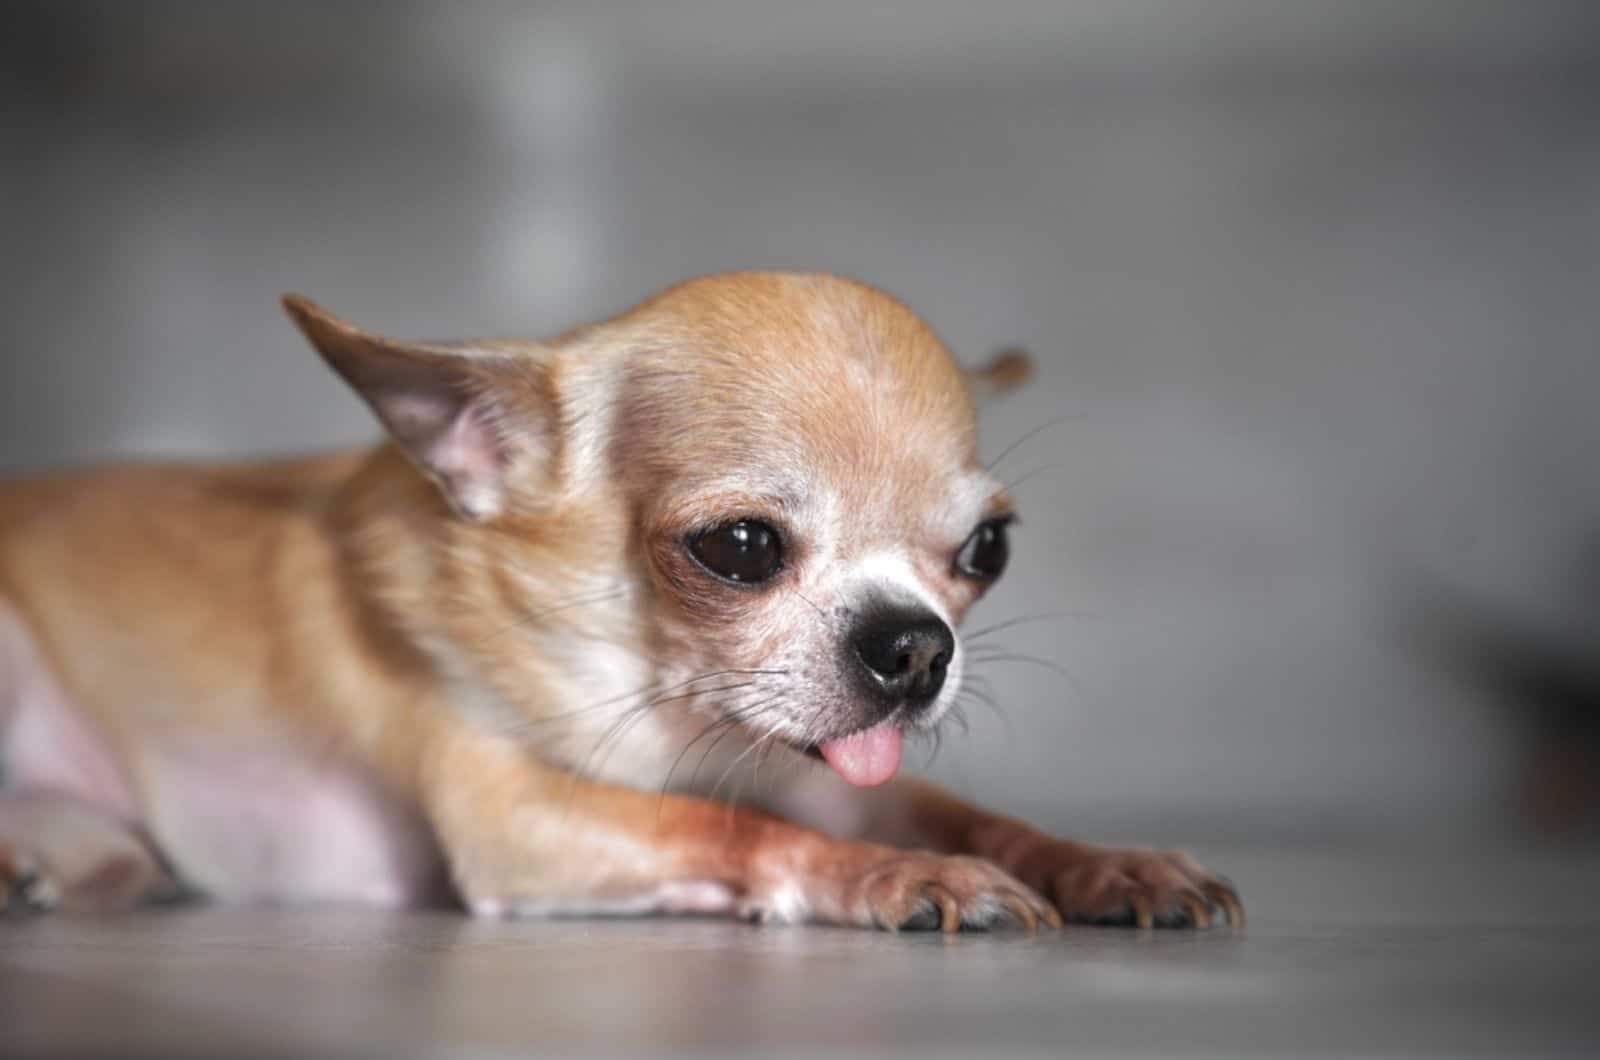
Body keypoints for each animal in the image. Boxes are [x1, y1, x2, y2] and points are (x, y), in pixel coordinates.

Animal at [0, 272, 1241, 928]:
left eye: (985, 549)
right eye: (737, 547)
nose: (915, 646)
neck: (671, 719)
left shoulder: (832, 774)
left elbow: (971, 814)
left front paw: (1107, 863)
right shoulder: (511, 816)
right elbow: (724, 824)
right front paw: (905, 876)